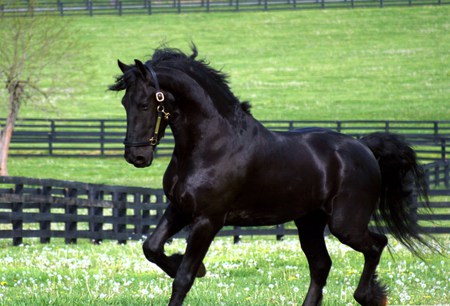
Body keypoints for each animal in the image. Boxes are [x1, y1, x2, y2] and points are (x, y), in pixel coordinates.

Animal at [110, 46, 430, 306]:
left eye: (145, 104)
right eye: (124, 103)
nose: (136, 157)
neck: (213, 144)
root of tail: (363, 146)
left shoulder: (207, 220)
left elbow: (183, 279)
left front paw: (193, 268)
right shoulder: (179, 208)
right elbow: (151, 247)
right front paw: (190, 265)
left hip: (345, 225)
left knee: (376, 245)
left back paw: (370, 296)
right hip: (309, 223)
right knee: (321, 266)